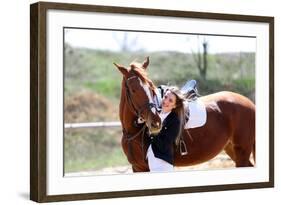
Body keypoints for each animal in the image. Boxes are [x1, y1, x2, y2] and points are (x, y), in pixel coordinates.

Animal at [113, 57, 254, 171]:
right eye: (133, 90)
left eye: (151, 87)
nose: (156, 123)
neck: (133, 132)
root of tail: (249, 103)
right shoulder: (137, 167)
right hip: (231, 148)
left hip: (242, 150)